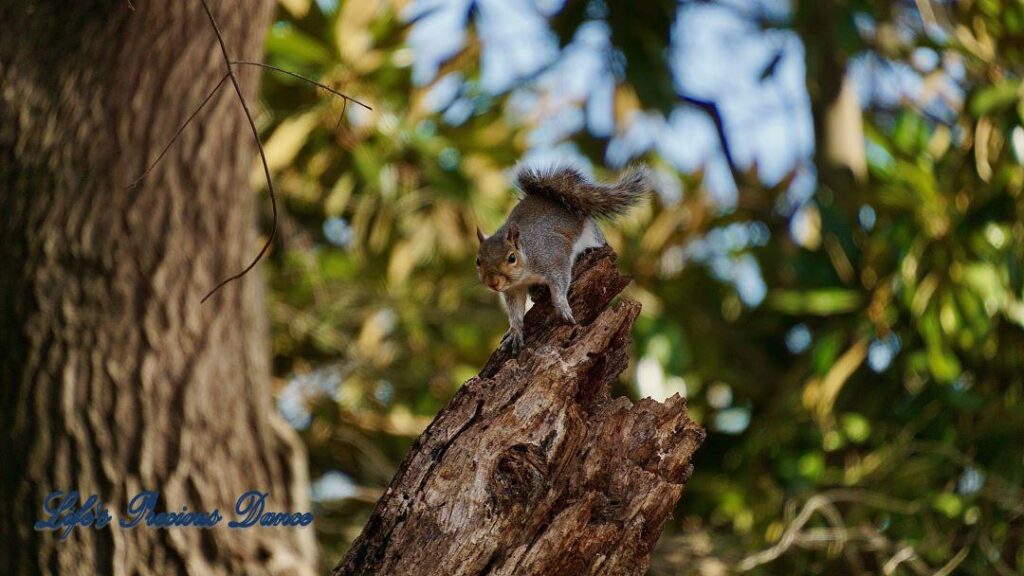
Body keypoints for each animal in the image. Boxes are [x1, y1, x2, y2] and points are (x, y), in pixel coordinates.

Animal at [473, 166, 647, 350]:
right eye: (477, 261)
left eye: (512, 258)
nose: (493, 283)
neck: (527, 262)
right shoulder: (514, 289)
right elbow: (515, 310)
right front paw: (515, 330)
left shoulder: (555, 257)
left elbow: (560, 283)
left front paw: (562, 306)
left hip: (592, 234)